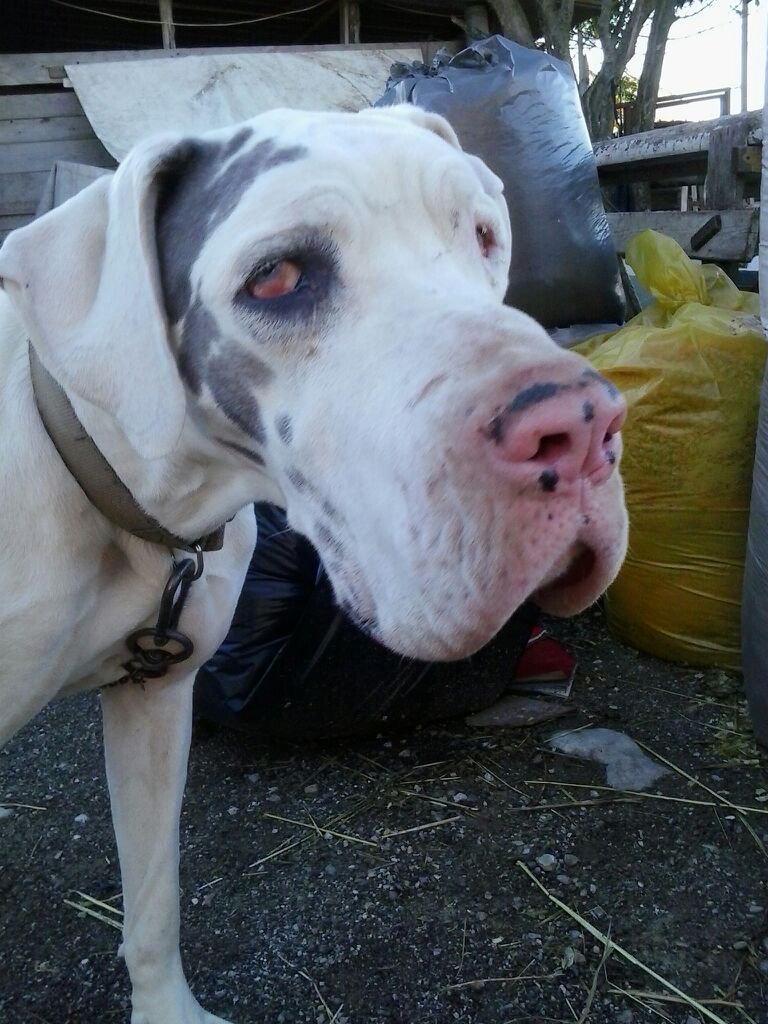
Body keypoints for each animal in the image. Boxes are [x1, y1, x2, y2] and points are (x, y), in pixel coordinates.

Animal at [0, 105, 628, 1023]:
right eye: (276, 278)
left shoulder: (156, 703)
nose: (583, 428)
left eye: (482, 234)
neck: (126, 497)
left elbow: (153, 897)